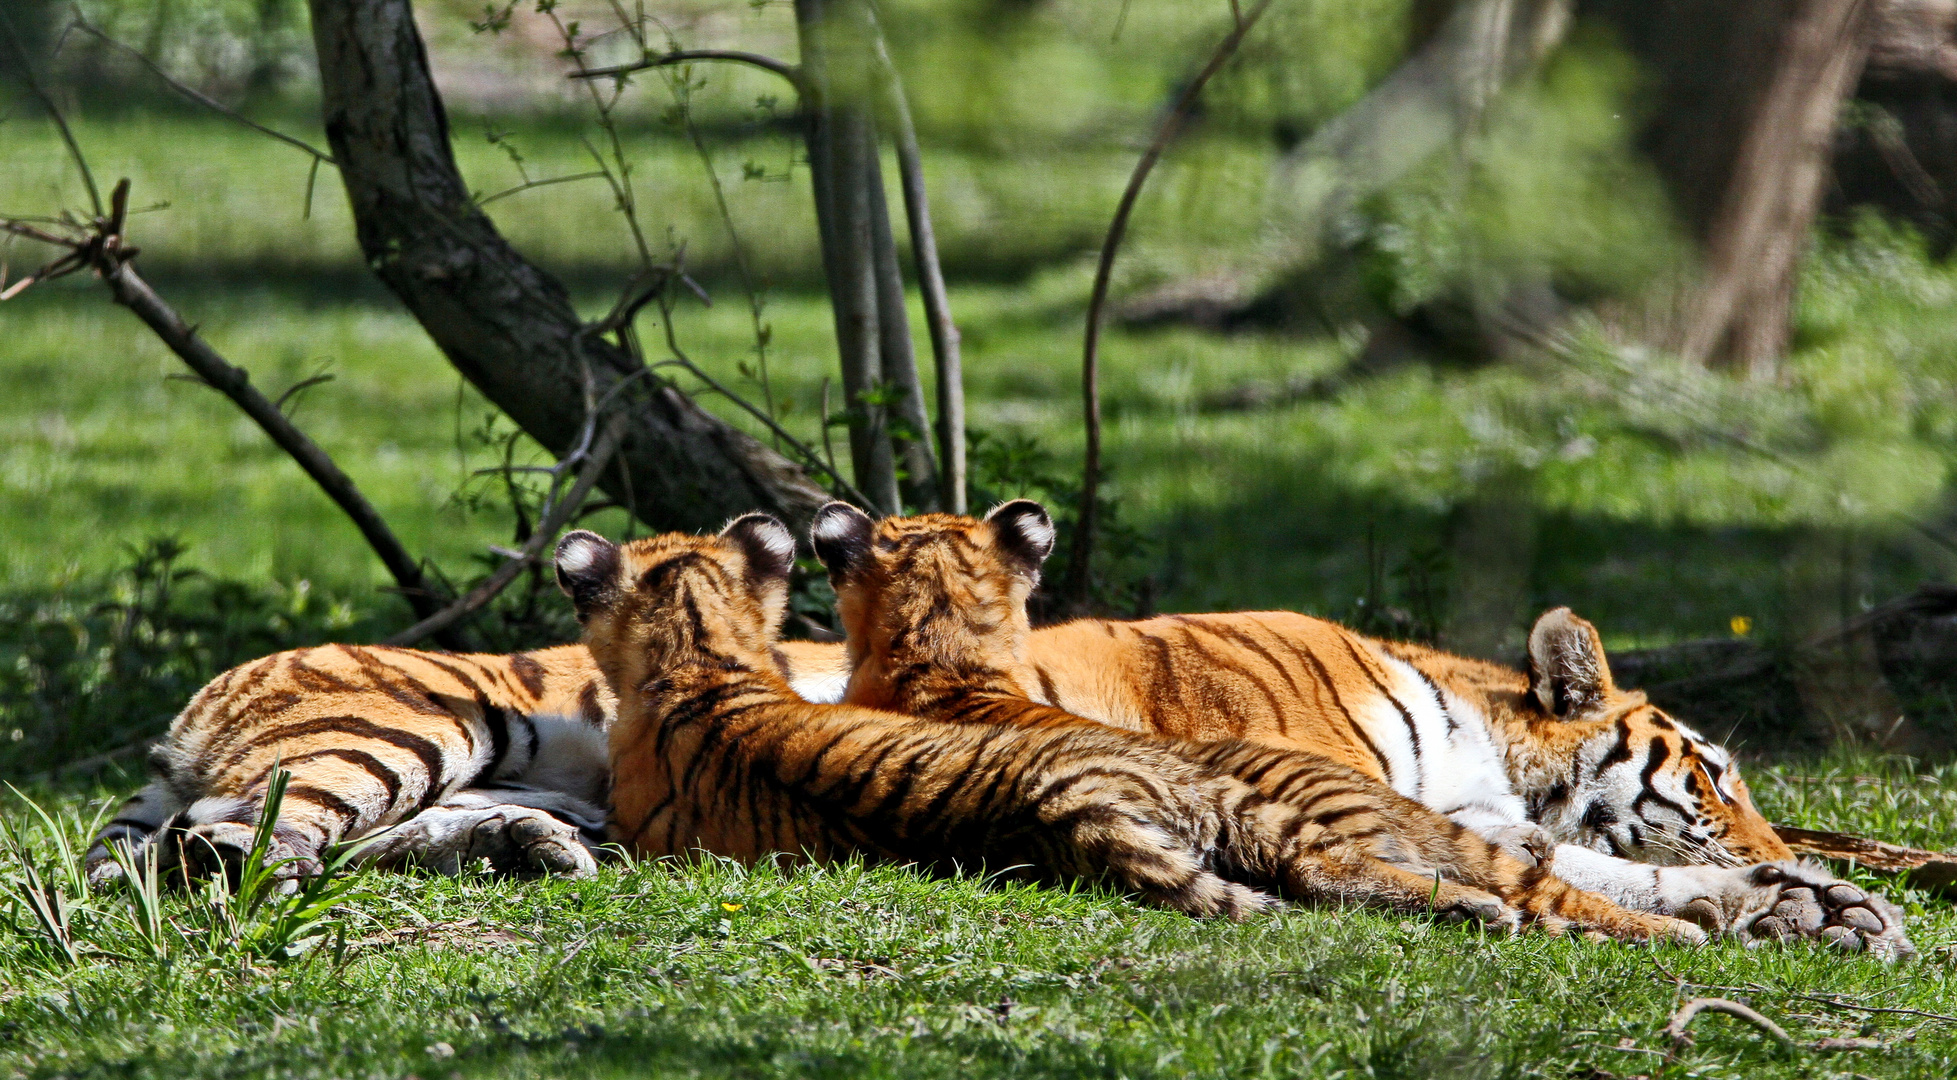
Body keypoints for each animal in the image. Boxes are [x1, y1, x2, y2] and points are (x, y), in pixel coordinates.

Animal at [806, 496, 1910, 954]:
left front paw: (1819, 903)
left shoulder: (1463, 814)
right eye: (1715, 775)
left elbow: (1578, 862)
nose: (1771, 847)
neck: (1486, 746)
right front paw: (1784, 898)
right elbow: (1558, 868)